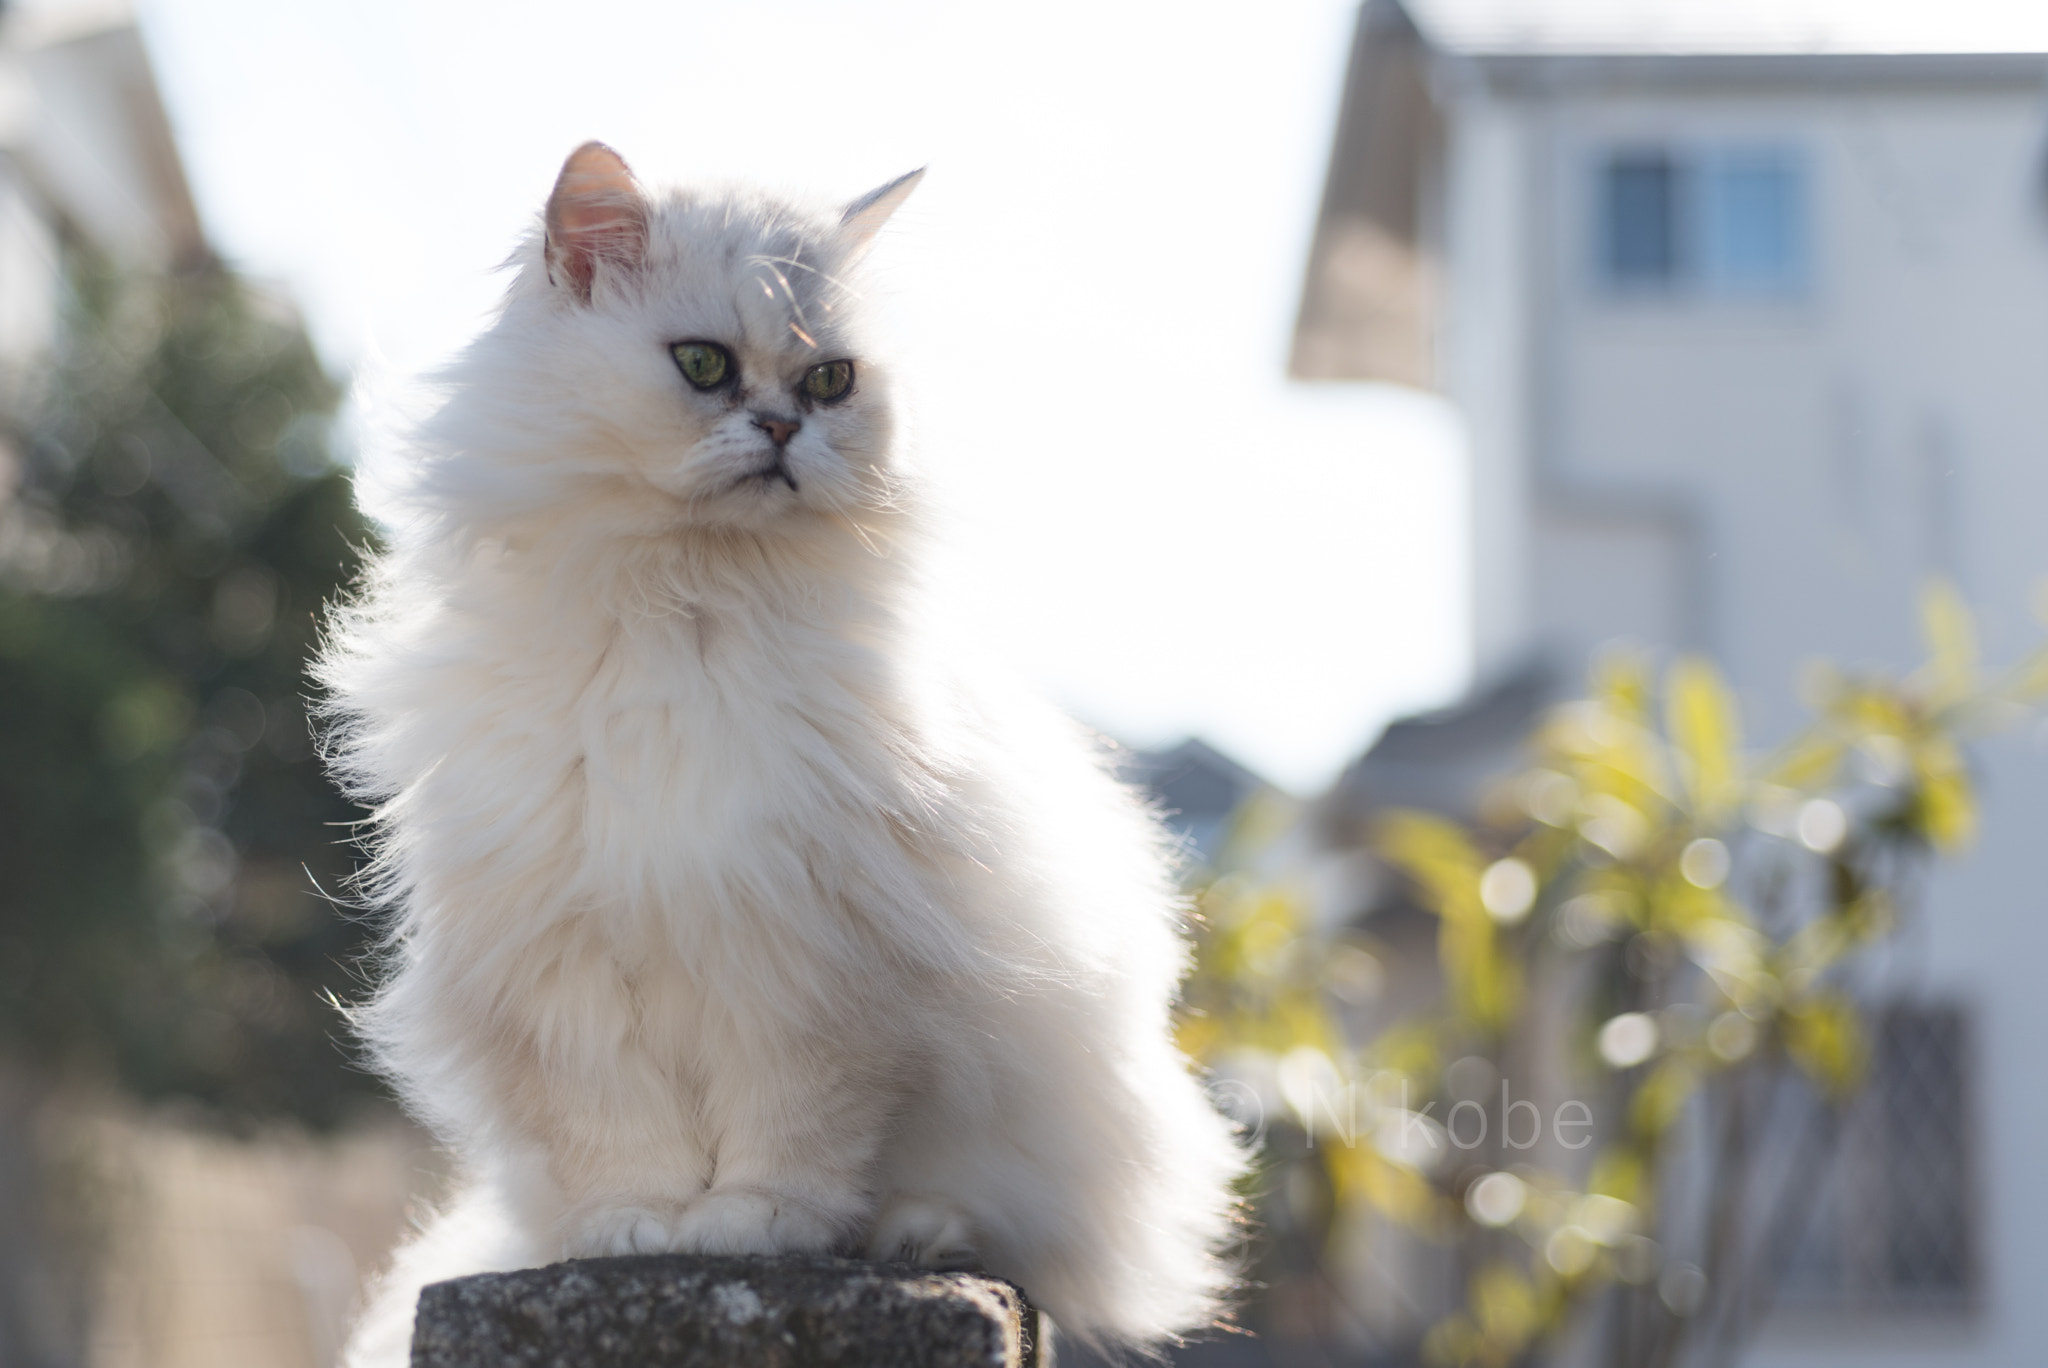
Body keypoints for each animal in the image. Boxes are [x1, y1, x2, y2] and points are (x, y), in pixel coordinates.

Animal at [323, 144, 1245, 1359]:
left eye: (829, 384)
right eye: (704, 366)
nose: (779, 431)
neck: (685, 607)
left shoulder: (811, 959)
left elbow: (790, 1131)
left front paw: (752, 1228)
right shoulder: (570, 970)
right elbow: (621, 1135)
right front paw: (641, 1231)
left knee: (1005, 1224)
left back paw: (911, 1235)